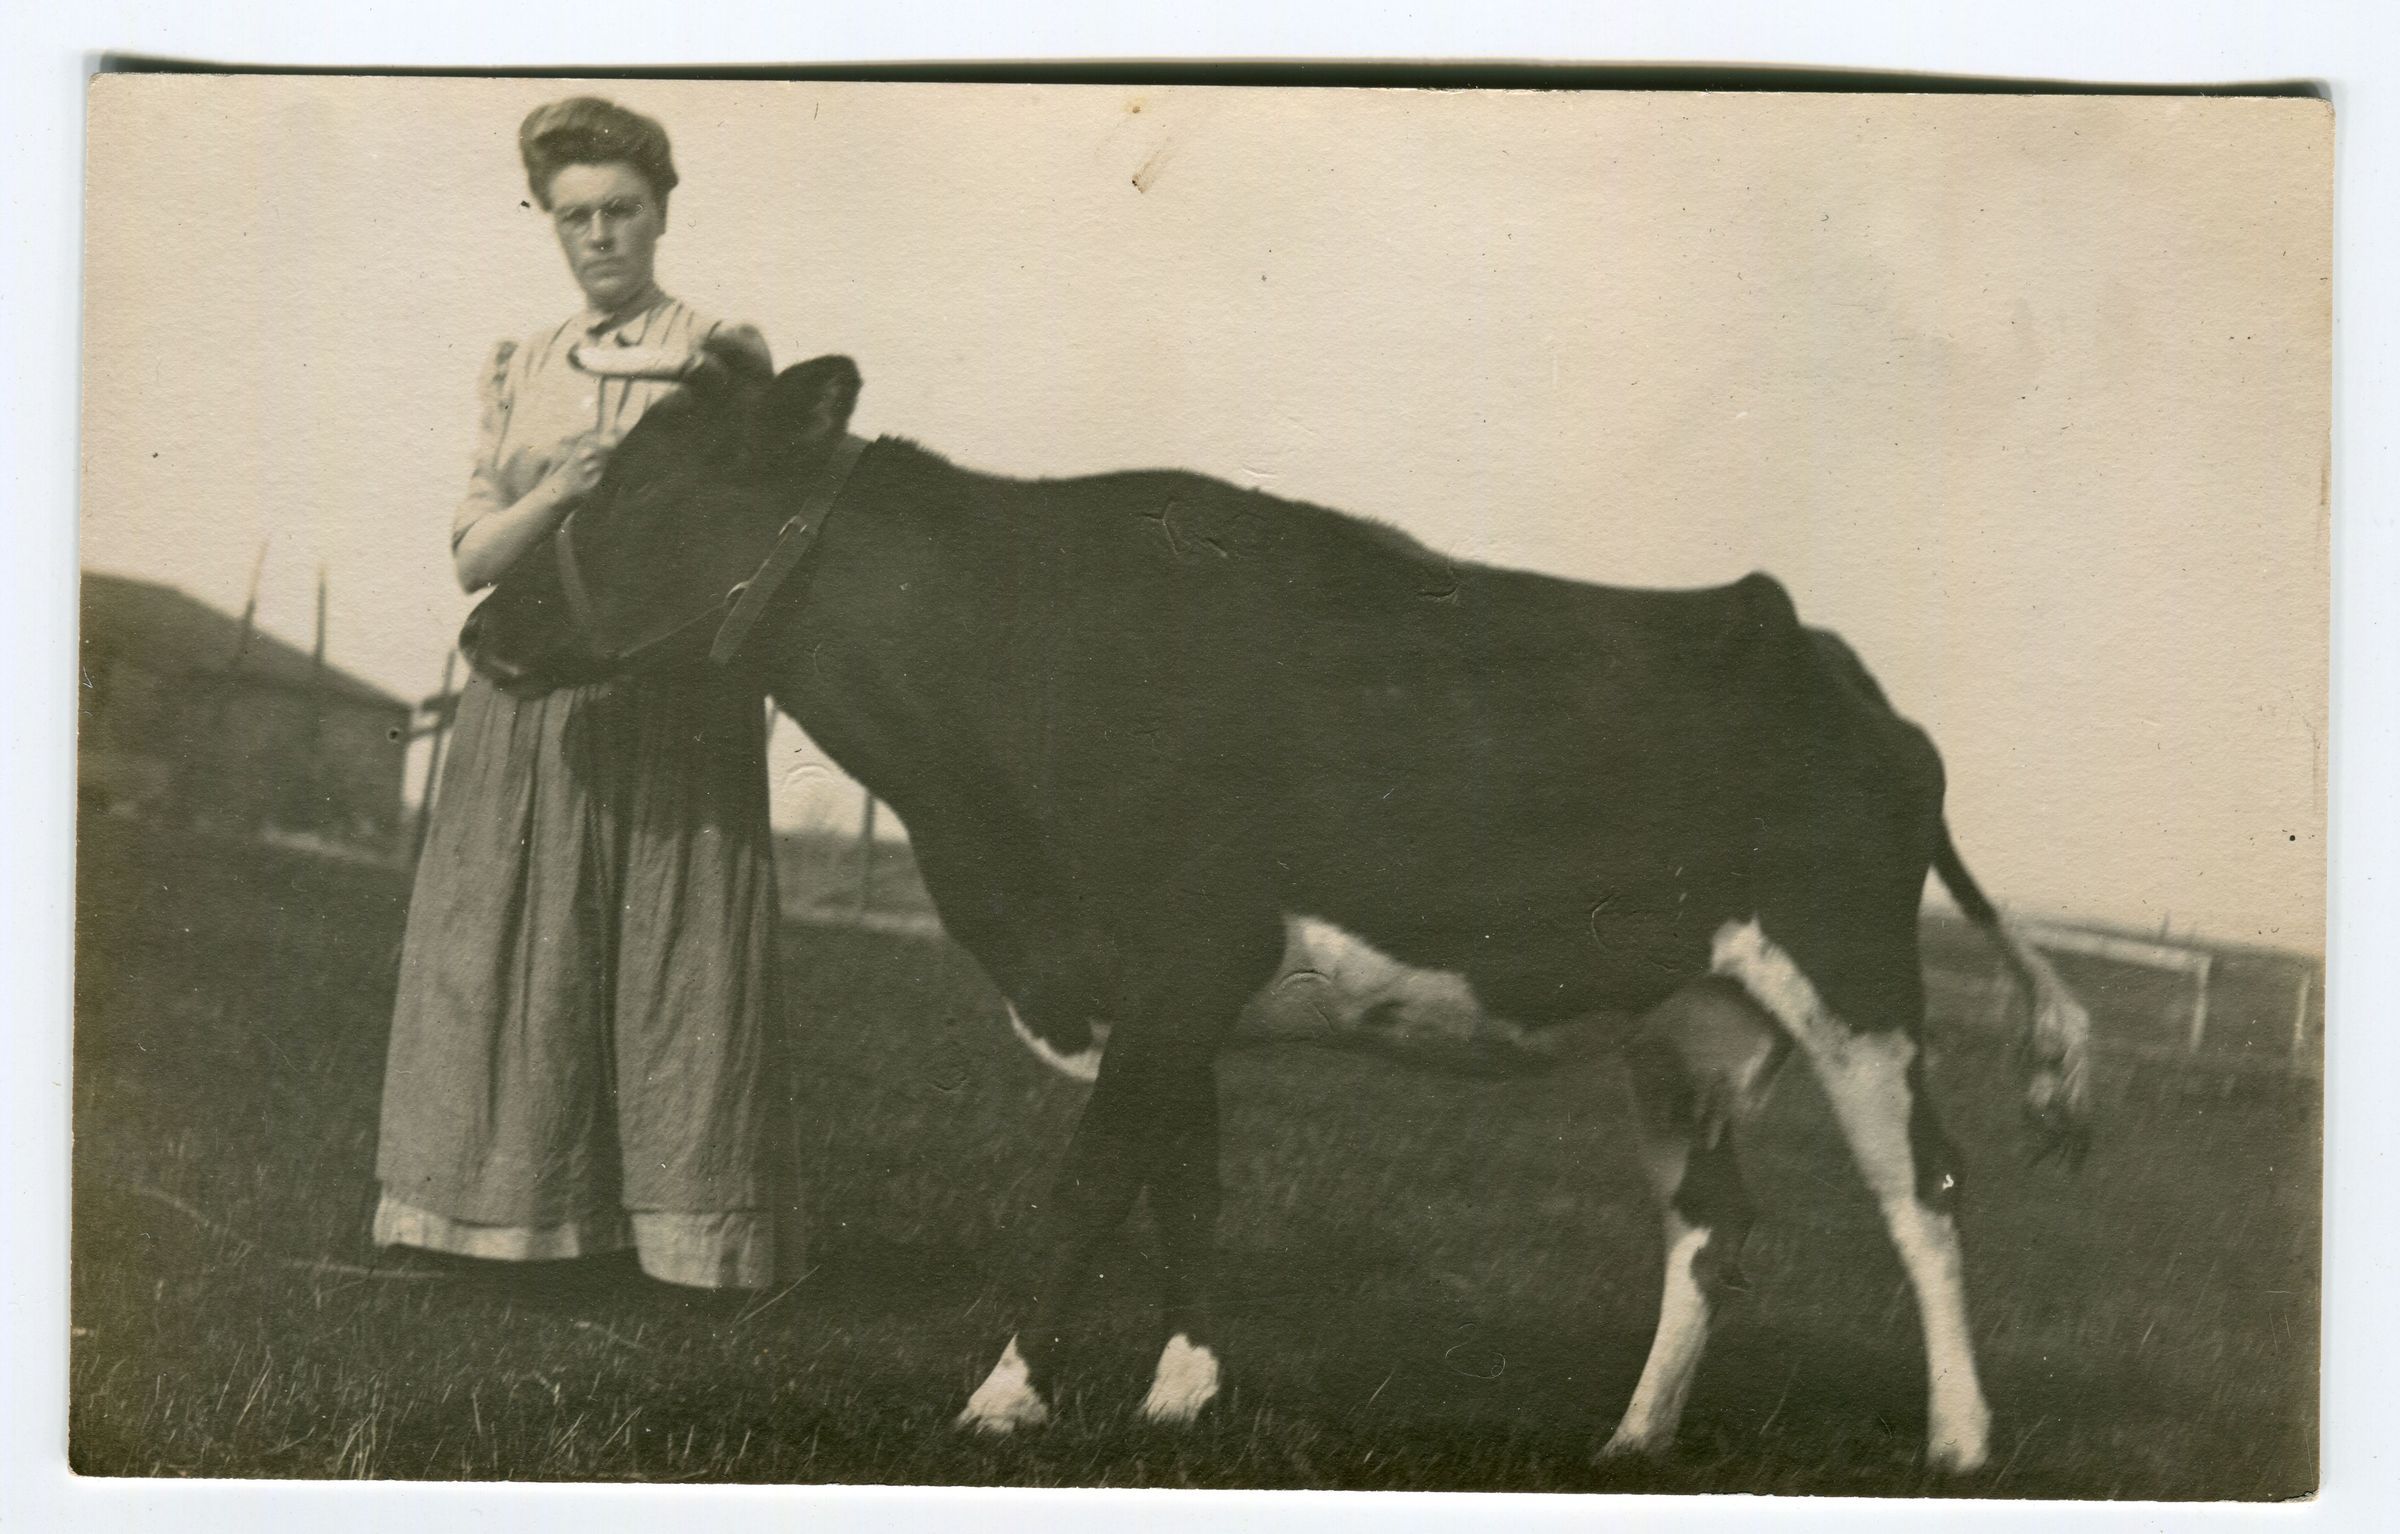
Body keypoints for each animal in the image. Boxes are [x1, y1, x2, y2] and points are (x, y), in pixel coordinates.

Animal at [463, 352, 2095, 1473]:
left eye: (633, 487)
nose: (481, 623)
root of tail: (1833, 661)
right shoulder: (1162, 990)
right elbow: (1184, 1181)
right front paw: (1182, 1395)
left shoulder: (1178, 956)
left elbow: (1090, 1184)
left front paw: (998, 1398)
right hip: (1682, 1021)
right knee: (1710, 1225)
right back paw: (1632, 1438)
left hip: (1857, 982)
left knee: (1927, 1193)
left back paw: (1957, 1442)